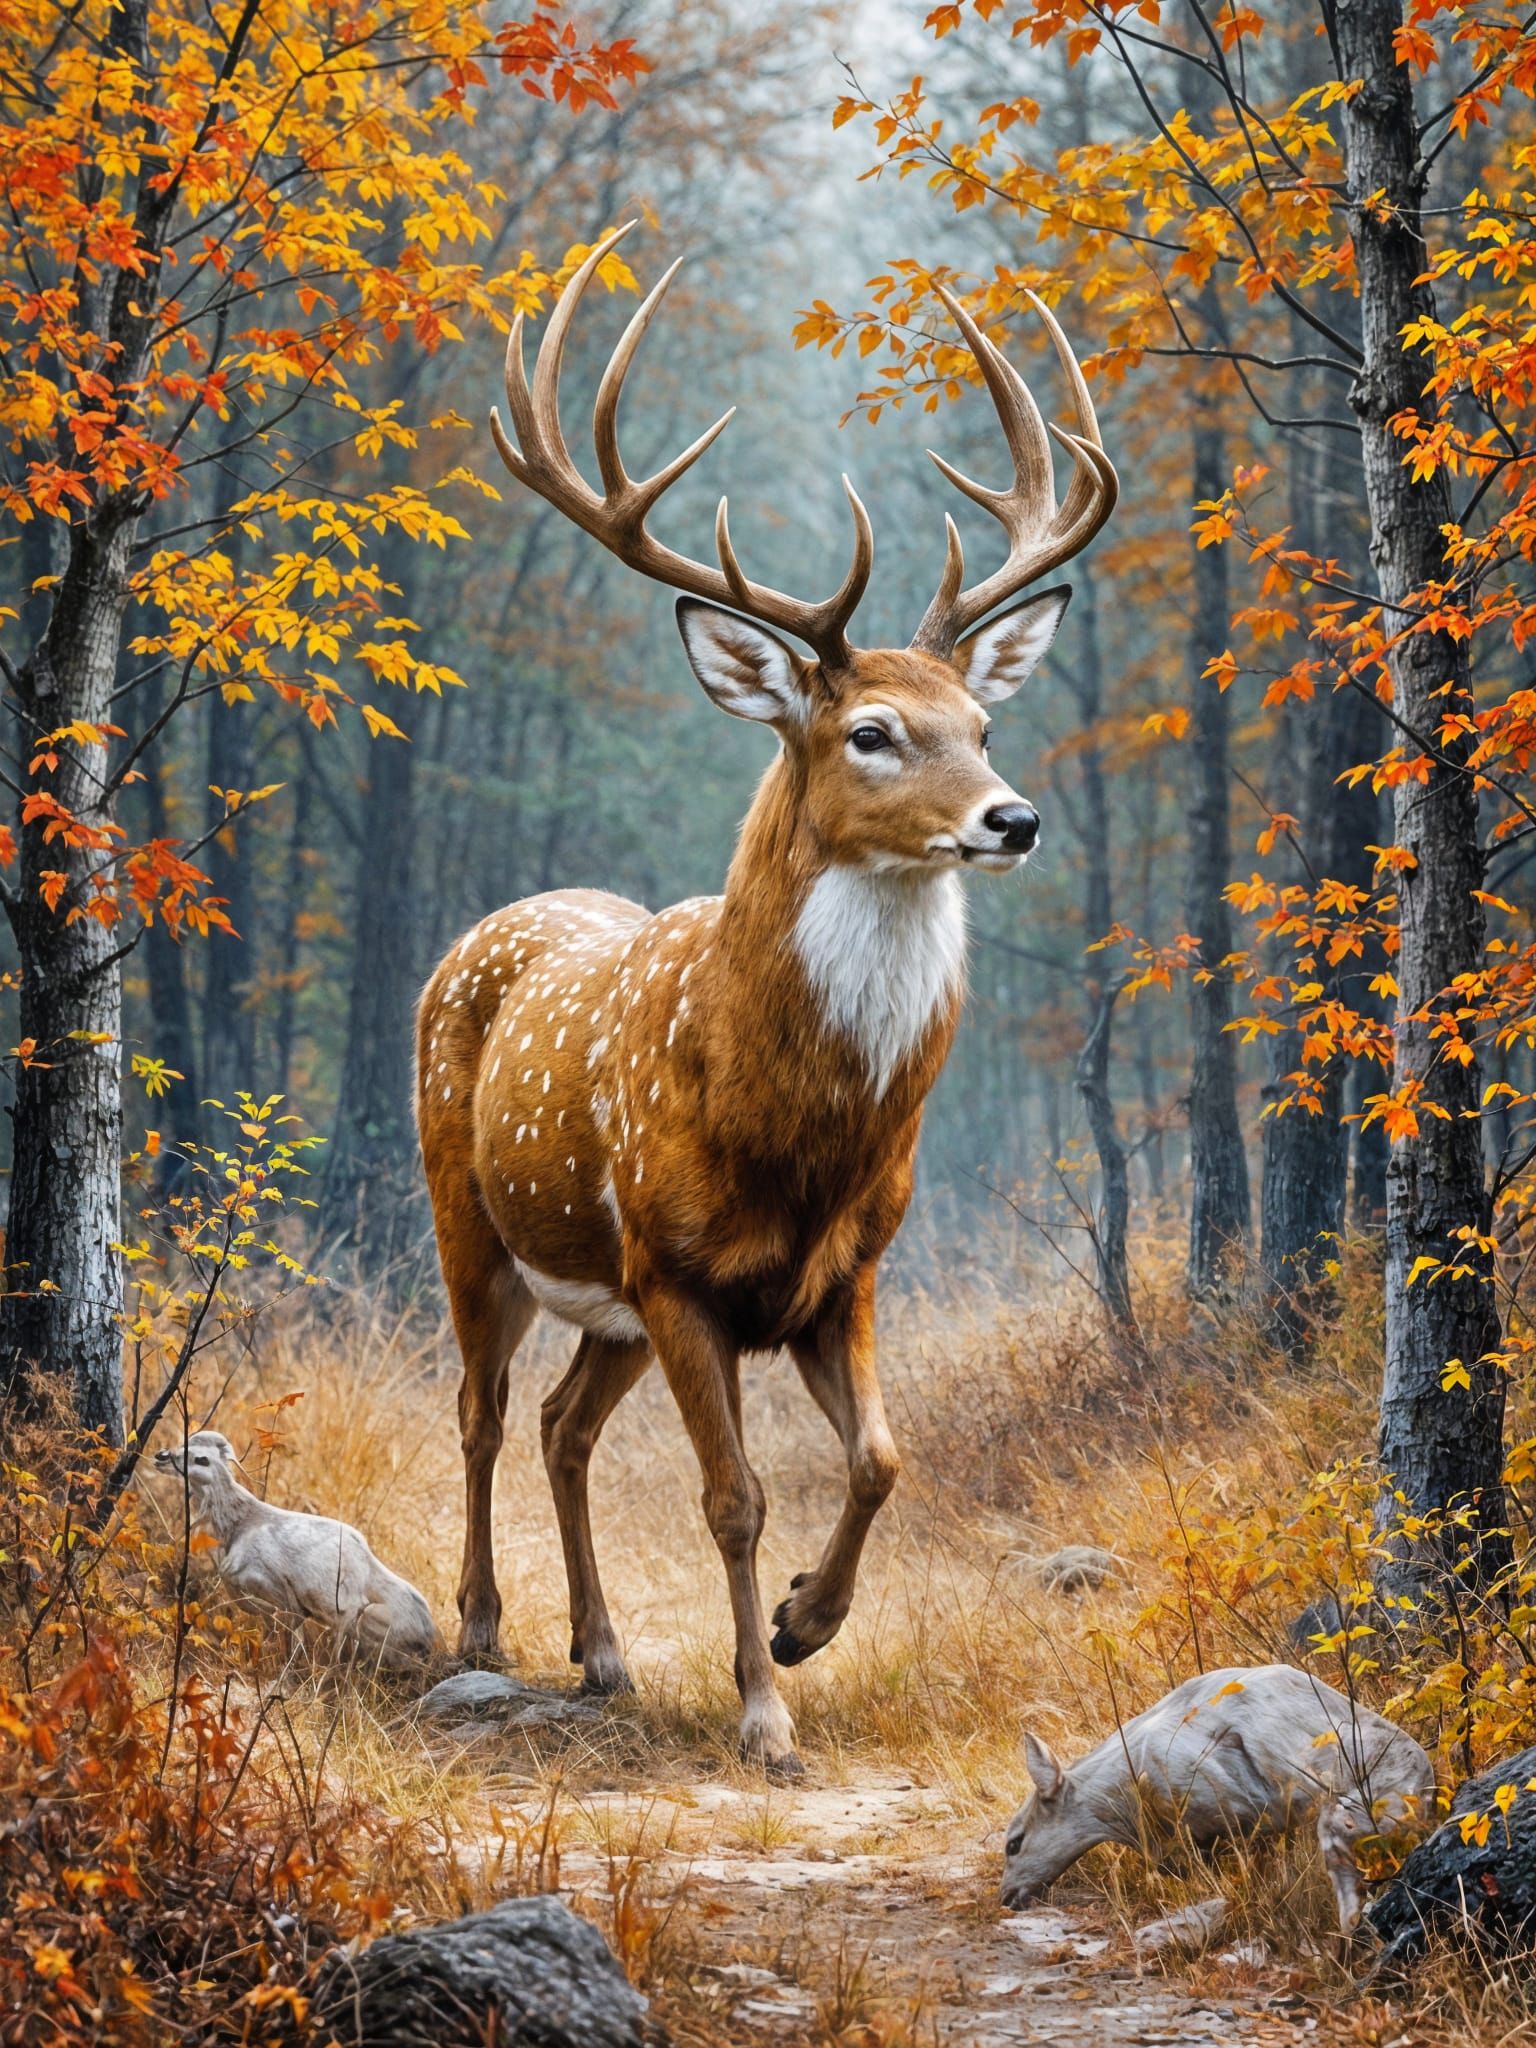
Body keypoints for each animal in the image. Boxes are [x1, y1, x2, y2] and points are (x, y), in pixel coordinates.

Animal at [416, 223, 1117, 1776]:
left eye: (986, 722)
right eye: (873, 733)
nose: (1016, 817)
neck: (791, 1131)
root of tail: (477, 935)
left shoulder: (839, 1272)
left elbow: (882, 1458)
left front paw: (805, 1622)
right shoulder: (679, 1271)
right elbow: (733, 1495)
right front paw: (764, 1710)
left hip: (608, 1305)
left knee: (559, 1423)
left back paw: (602, 1651)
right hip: (470, 1218)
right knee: (482, 1410)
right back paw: (484, 1626)